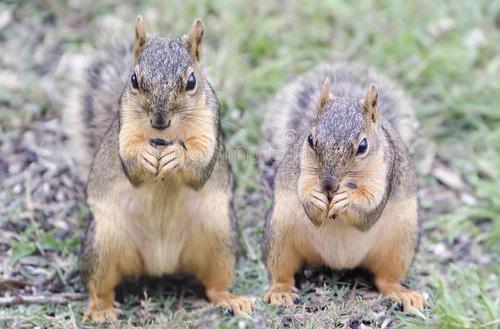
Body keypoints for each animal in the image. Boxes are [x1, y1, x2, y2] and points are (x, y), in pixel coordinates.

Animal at [64, 16, 252, 320]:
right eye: (134, 79)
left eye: (191, 81)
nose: (159, 120)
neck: (165, 136)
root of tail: (160, 262)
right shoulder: (125, 127)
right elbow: (130, 162)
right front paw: (144, 156)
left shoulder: (208, 123)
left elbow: (200, 163)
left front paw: (178, 156)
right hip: (103, 244)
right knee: (99, 286)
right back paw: (101, 309)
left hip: (220, 239)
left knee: (215, 284)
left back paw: (230, 299)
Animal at [262, 62, 426, 312]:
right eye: (310, 139)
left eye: (363, 146)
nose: (328, 185)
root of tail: (340, 261)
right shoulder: (303, 170)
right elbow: (310, 204)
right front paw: (314, 197)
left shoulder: (386, 174)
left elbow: (368, 212)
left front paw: (347, 199)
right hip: (279, 233)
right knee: (282, 270)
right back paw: (280, 291)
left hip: (401, 244)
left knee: (386, 279)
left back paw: (402, 294)